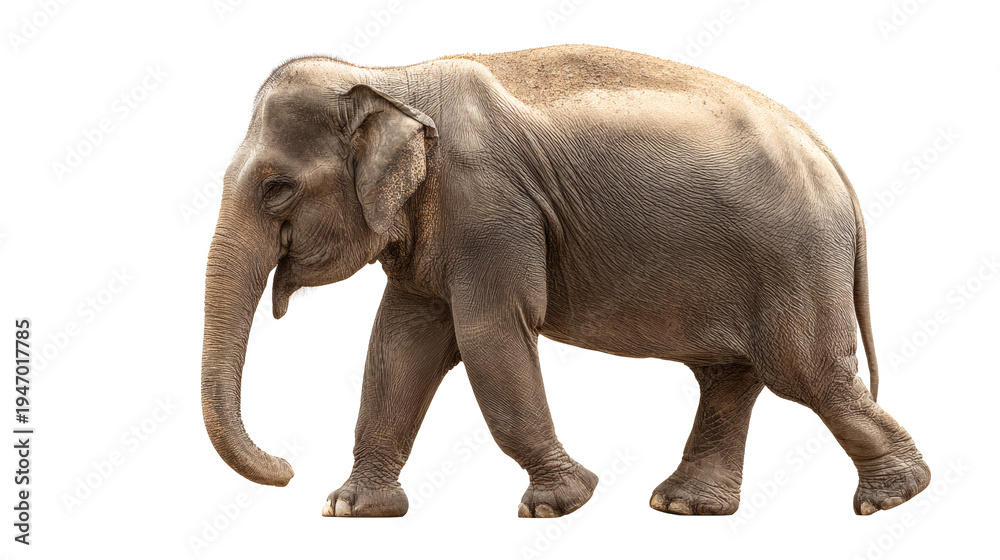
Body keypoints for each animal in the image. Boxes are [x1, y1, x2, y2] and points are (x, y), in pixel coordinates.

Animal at [201, 44, 930, 519]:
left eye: (276, 188)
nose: (286, 468)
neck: (389, 78)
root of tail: (835, 166)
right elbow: (401, 343)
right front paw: (350, 509)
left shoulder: (490, 207)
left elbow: (489, 334)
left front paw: (559, 504)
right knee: (732, 376)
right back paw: (683, 506)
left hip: (796, 260)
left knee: (807, 373)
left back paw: (894, 497)